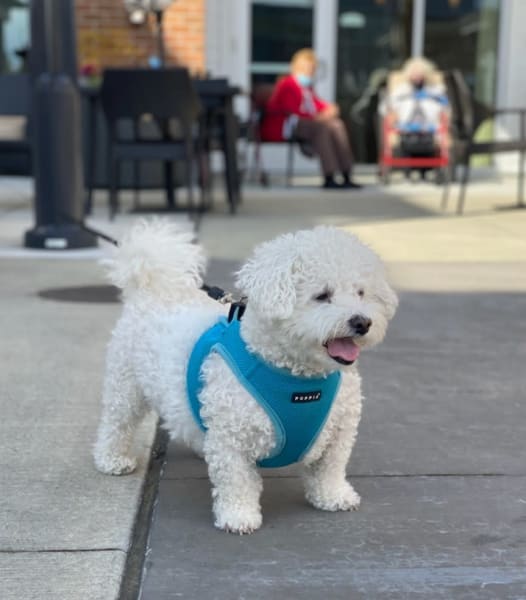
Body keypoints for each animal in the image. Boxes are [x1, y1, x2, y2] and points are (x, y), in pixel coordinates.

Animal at [95, 221, 400, 536]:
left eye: (361, 293)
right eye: (322, 295)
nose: (362, 322)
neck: (299, 377)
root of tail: (152, 288)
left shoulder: (340, 430)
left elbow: (331, 467)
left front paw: (333, 495)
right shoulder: (232, 438)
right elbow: (237, 480)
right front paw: (238, 515)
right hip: (126, 384)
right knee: (117, 423)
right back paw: (112, 458)